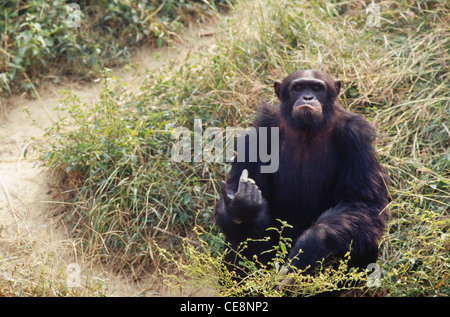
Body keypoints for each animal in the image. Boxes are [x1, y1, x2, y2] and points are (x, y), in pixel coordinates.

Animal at [213, 68, 388, 284]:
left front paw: (310, 245)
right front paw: (243, 205)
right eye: (298, 87)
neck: (307, 130)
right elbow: (236, 192)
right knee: (238, 236)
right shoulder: (256, 136)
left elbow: (363, 202)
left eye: (316, 88)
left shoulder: (357, 138)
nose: (307, 97)